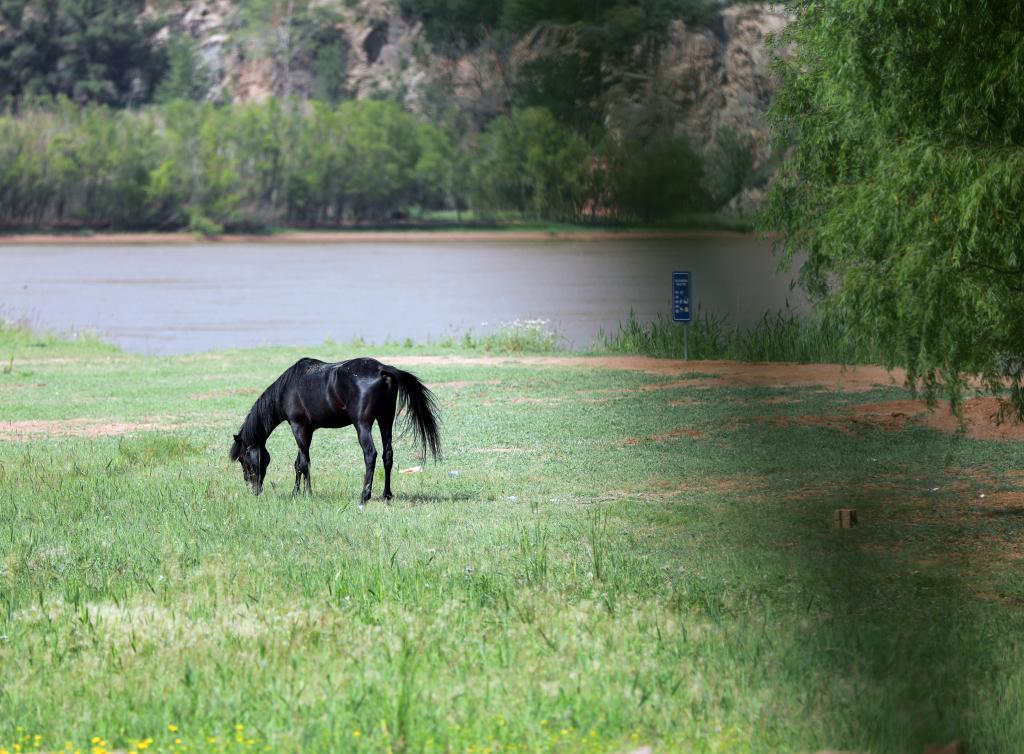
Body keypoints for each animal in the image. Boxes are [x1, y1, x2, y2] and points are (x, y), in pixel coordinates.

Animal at [229, 357, 440, 504]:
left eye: (242, 459)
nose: (253, 490)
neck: (287, 388)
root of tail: (382, 370)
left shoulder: (299, 427)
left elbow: (304, 463)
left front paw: (308, 494)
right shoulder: (307, 430)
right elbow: (298, 463)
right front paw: (295, 493)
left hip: (363, 425)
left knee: (370, 454)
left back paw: (364, 497)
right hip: (385, 420)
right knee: (387, 454)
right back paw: (386, 495)